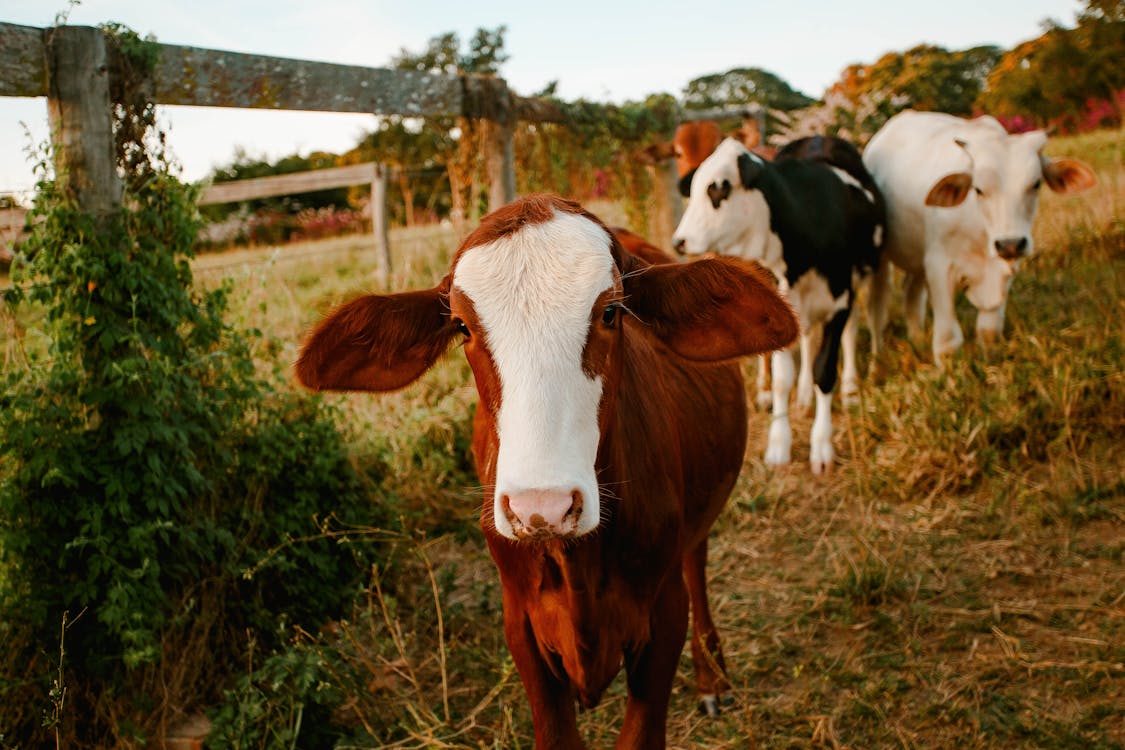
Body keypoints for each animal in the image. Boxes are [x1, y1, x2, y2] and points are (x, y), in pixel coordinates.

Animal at [294, 195, 796, 750]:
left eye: (611, 312)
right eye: (463, 327)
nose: (543, 508)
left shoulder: (663, 614)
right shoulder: (522, 625)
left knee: (697, 563)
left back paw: (713, 678)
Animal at [670, 137, 882, 472]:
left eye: (718, 189)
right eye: (693, 189)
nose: (679, 241)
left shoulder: (840, 303)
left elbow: (825, 371)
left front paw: (822, 445)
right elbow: (783, 380)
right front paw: (779, 444)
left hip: (862, 280)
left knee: (850, 333)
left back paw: (848, 389)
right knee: (807, 340)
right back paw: (805, 395)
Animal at [859, 109, 1098, 364]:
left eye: (1035, 184)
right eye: (979, 189)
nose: (1010, 244)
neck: (980, 230)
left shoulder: (1004, 268)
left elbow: (989, 331)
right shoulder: (939, 266)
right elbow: (948, 340)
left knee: (911, 296)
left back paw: (917, 341)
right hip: (882, 260)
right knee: (877, 309)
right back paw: (877, 358)